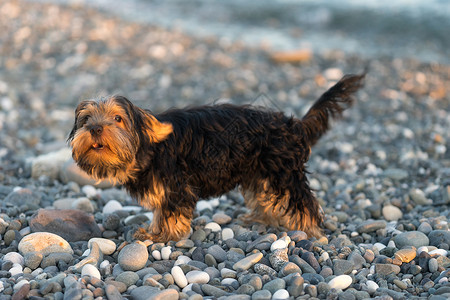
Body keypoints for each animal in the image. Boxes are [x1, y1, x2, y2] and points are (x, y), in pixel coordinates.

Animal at [69, 74, 366, 243]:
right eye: (86, 120)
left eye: (118, 118)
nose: (96, 128)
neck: (148, 147)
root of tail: (294, 126)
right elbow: (161, 210)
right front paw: (154, 231)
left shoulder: (175, 185)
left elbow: (170, 211)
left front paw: (163, 234)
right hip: (259, 171)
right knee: (266, 195)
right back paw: (262, 218)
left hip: (283, 172)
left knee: (302, 201)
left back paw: (311, 230)